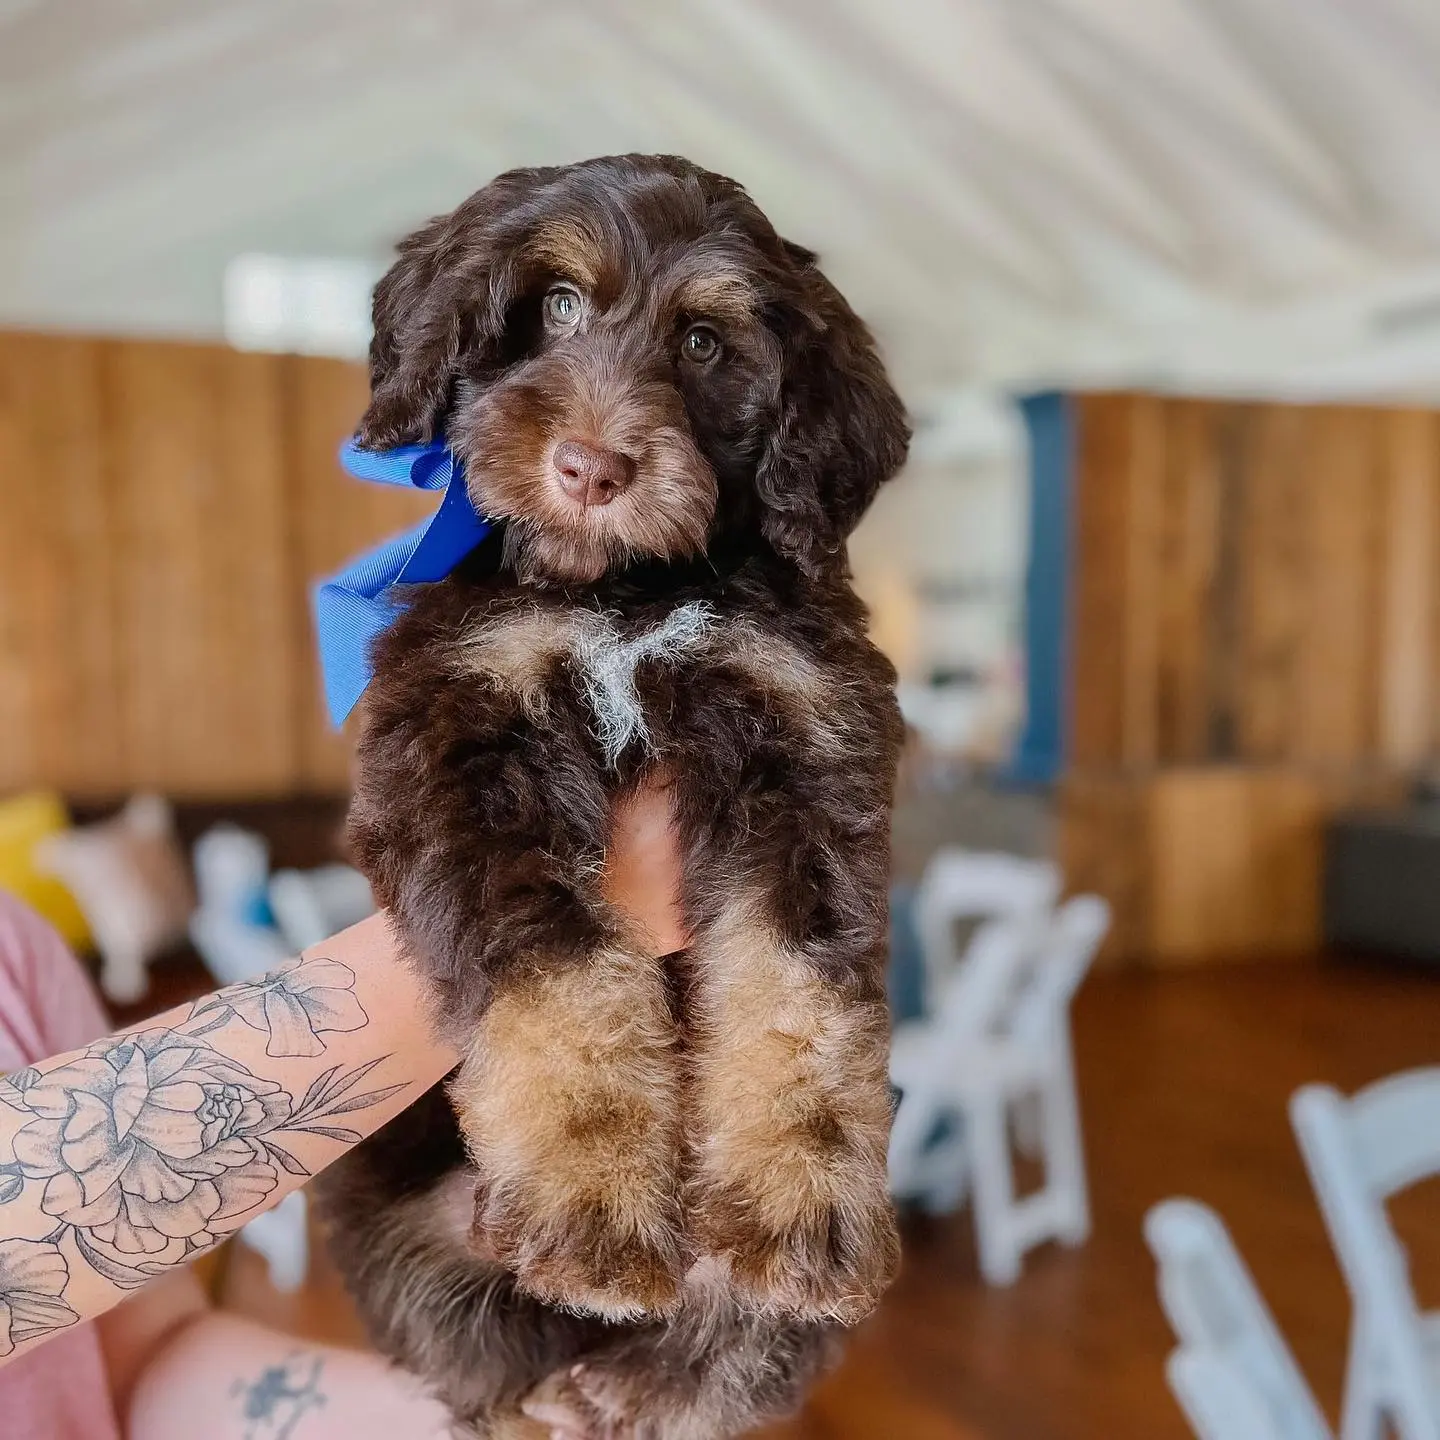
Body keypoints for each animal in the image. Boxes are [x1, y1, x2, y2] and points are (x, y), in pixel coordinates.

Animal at [318, 151, 910, 1434]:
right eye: (554, 305)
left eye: (704, 343)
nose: (593, 468)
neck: (626, 595)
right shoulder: (462, 739)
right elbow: (566, 982)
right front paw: (593, 1198)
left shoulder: (806, 746)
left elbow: (798, 997)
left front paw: (801, 1202)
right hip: (380, 1196)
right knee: (467, 1337)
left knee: (723, 1353)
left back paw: (636, 1385)